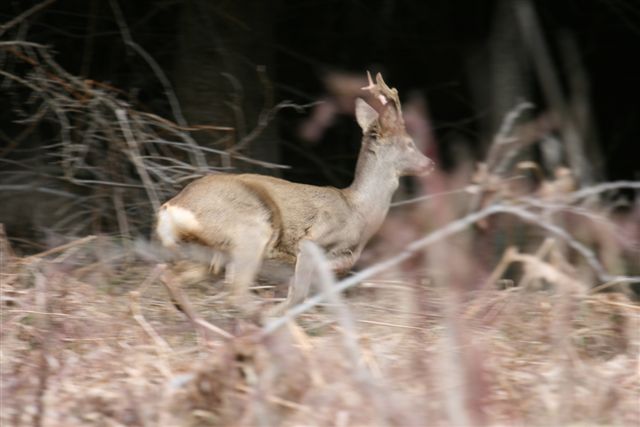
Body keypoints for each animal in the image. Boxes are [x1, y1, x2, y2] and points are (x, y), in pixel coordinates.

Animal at [156, 73, 436, 310]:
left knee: (172, 276)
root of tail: (171, 207)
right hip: (248, 231)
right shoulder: (312, 241)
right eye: (410, 143)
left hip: (206, 251)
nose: (430, 164)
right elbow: (297, 296)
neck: (359, 213)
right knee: (236, 293)